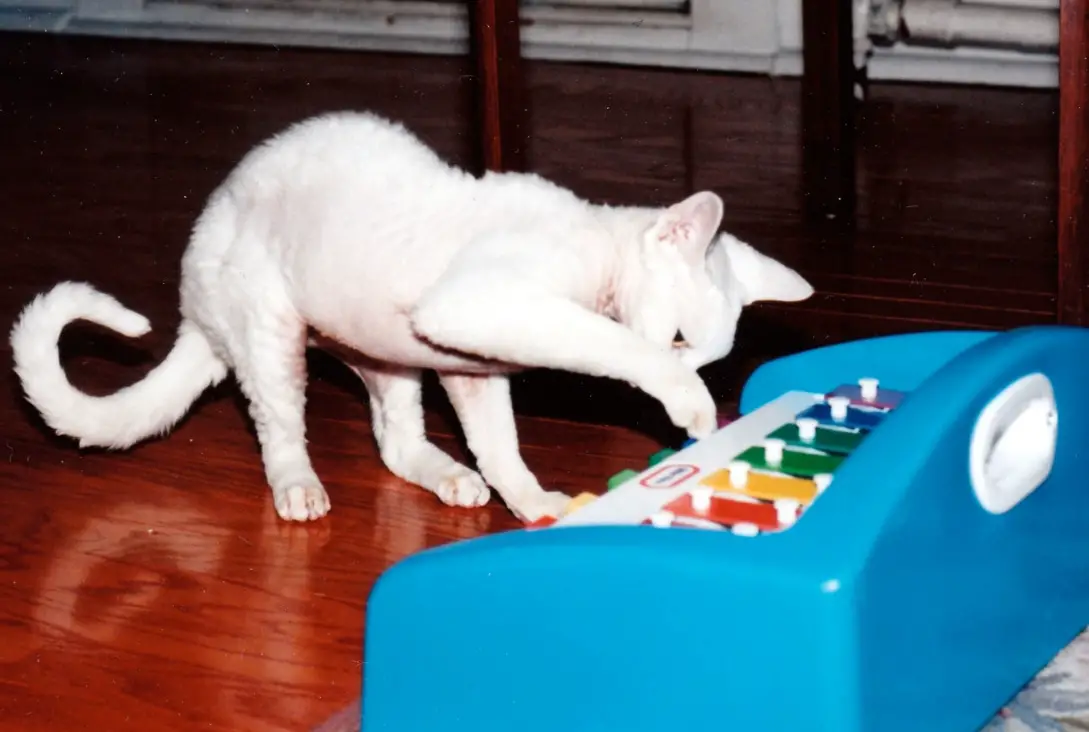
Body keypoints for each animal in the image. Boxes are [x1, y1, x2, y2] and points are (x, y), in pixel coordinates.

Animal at [6, 108, 810, 522]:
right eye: (677, 339)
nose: (692, 374)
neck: (595, 246)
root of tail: (192, 308)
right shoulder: (482, 306)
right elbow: (606, 342)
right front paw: (687, 404)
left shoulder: (472, 362)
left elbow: (501, 446)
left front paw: (536, 504)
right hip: (270, 331)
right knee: (279, 428)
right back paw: (300, 490)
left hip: (389, 353)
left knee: (394, 442)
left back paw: (451, 477)